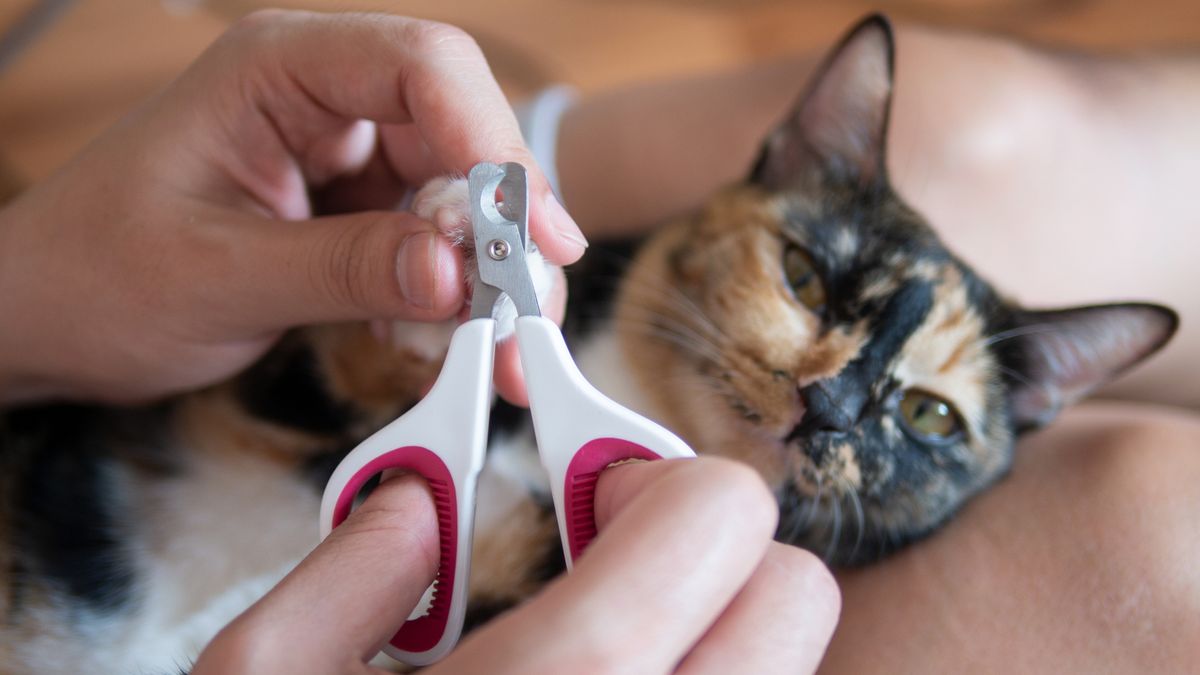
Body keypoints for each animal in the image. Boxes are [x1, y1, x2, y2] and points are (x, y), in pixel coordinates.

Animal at [0, 11, 1171, 672]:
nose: (831, 404)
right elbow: (344, 357)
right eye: (805, 274)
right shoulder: (256, 384)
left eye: (928, 415)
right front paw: (439, 230)